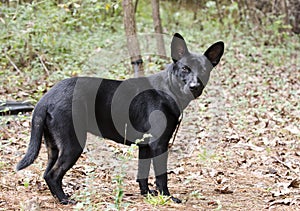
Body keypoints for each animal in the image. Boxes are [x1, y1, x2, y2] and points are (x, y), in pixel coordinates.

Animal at [15, 33, 223, 204]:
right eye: (185, 69)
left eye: (204, 70)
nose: (195, 87)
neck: (168, 89)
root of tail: (45, 99)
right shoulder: (159, 145)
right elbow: (161, 176)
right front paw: (167, 198)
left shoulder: (145, 146)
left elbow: (142, 174)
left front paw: (147, 194)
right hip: (72, 145)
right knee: (53, 174)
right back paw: (65, 200)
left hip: (53, 146)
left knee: (47, 173)